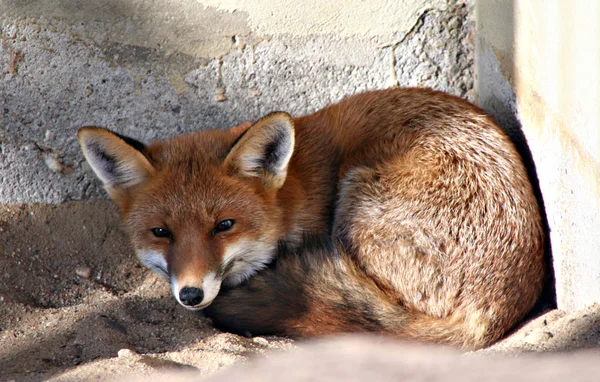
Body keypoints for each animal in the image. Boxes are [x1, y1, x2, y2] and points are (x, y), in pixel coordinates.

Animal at [77, 88, 548, 350]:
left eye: (224, 225)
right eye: (161, 233)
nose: (191, 295)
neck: (296, 189)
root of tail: (484, 319)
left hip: (358, 192)